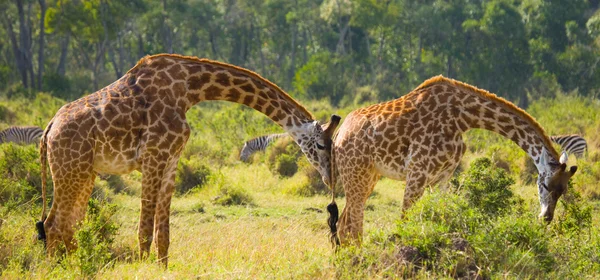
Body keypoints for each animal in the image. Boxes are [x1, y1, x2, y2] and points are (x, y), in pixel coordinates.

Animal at [35, 53, 340, 266]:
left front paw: (162, 269)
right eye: (321, 145)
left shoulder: (171, 159)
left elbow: (164, 234)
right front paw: (142, 268)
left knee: (69, 225)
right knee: (53, 224)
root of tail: (49, 130)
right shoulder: (153, 156)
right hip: (70, 170)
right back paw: (58, 269)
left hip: (85, 173)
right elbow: (145, 227)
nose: (330, 179)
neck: (189, 89)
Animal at [328, 76, 576, 245]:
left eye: (563, 191)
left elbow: (441, 215)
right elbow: (405, 219)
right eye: (545, 185)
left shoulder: (443, 176)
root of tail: (339, 135)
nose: (546, 218)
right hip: (356, 174)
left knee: (344, 222)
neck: (464, 117)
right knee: (352, 225)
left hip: (369, 176)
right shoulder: (417, 172)